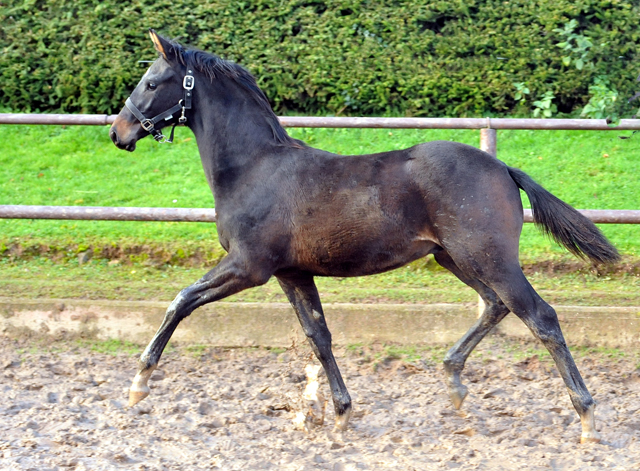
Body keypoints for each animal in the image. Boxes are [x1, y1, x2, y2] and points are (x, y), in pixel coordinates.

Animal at [111, 31, 620, 444]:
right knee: (496, 306)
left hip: (488, 258)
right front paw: (340, 415)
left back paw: (587, 419)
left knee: (541, 317)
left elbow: (180, 300)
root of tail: (503, 168)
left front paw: (138, 385)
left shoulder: (248, 266)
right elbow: (319, 336)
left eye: (152, 82)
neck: (254, 168)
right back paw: (454, 383)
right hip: (453, 258)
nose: (119, 132)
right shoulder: (292, 273)